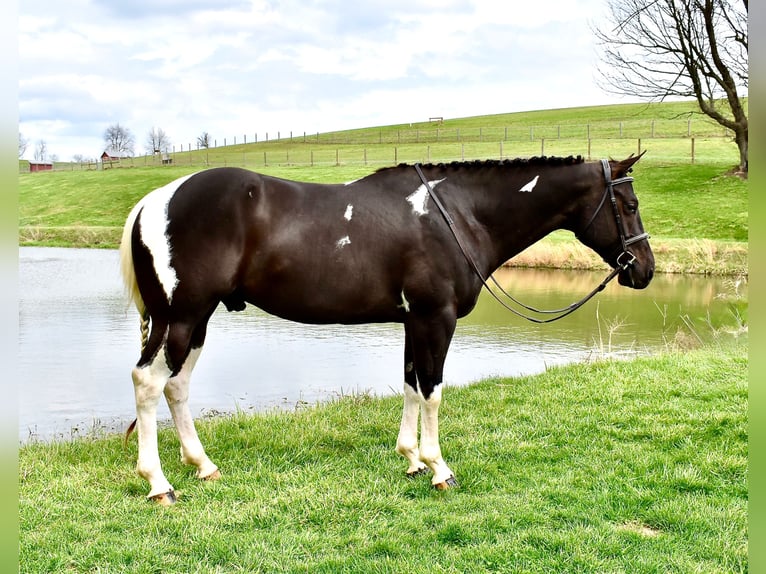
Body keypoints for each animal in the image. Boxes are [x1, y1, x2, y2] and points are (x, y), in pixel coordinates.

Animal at [119, 155, 654, 505]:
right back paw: (159, 484)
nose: (645, 270)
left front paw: (412, 459)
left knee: (177, 387)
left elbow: (412, 385)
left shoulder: (413, 321)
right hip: (180, 317)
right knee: (148, 383)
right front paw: (439, 469)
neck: (456, 214)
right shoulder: (435, 317)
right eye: (628, 204)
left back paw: (203, 465)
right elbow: (433, 390)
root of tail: (154, 201)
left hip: (197, 320)